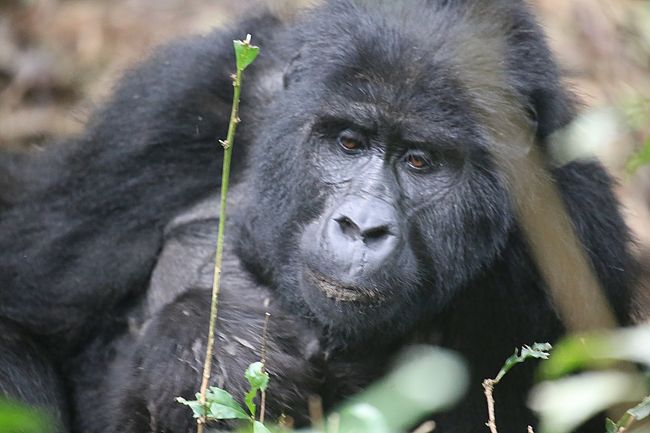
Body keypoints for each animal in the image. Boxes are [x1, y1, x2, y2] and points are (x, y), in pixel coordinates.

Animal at [0, 0, 636, 432]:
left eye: (419, 161)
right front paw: (213, 346)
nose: (362, 228)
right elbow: (24, 327)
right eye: (349, 143)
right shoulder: (169, 110)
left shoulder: (575, 229)